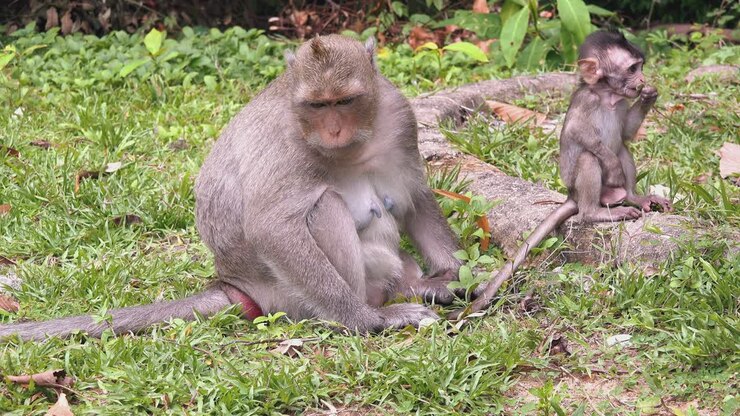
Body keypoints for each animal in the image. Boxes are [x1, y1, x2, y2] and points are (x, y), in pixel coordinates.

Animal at [0, 35, 462, 341]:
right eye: (317, 105)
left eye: (344, 101)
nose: (332, 130)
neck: (354, 144)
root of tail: (236, 285)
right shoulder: (286, 145)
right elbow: (272, 228)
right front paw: (368, 321)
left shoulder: (399, 117)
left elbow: (415, 197)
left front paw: (456, 273)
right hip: (291, 297)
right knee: (323, 207)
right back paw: (365, 311)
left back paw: (413, 287)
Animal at [450, 30, 673, 319]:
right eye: (632, 69)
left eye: (640, 67)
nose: (643, 80)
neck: (607, 97)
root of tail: (572, 196)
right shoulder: (587, 101)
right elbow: (577, 132)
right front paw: (611, 165)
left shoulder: (622, 101)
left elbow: (625, 134)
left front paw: (649, 95)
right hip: (582, 189)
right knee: (590, 158)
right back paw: (596, 212)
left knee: (622, 148)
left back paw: (634, 197)